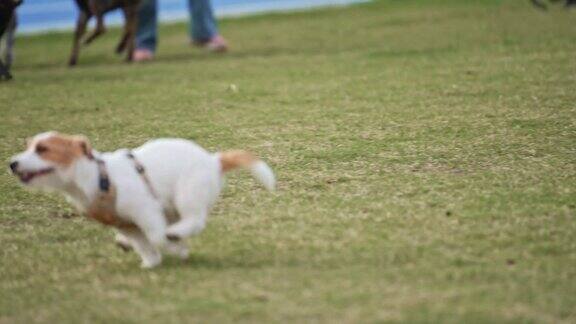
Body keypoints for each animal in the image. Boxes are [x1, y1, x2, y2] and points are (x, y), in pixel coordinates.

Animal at [8, 132, 274, 268]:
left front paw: (176, 248)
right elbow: (143, 244)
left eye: (42, 149)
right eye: (29, 147)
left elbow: (156, 237)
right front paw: (151, 262)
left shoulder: (146, 210)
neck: (97, 177)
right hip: (172, 207)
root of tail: (214, 160)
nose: (12, 163)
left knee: (195, 220)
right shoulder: (127, 224)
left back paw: (176, 234)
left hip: (187, 194)